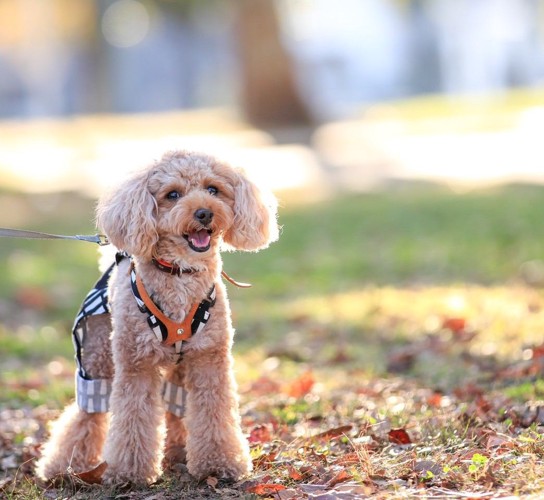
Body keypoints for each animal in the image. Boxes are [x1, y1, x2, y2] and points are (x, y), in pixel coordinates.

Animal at [36, 149, 278, 484]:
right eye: (172, 195)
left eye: (213, 189)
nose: (204, 213)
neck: (179, 274)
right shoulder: (136, 364)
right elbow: (132, 418)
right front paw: (129, 472)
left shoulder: (209, 358)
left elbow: (213, 412)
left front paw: (218, 463)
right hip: (98, 354)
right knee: (86, 413)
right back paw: (64, 465)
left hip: (180, 365)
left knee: (177, 405)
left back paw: (177, 452)